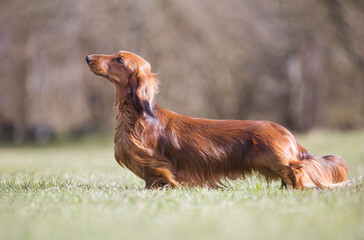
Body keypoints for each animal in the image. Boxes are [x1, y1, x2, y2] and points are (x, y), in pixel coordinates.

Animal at [84, 50, 346, 189]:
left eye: (119, 60)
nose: (87, 57)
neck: (139, 117)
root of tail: (286, 133)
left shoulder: (154, 163)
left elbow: (160, 177)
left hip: (277, 159)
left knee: (297, 170)